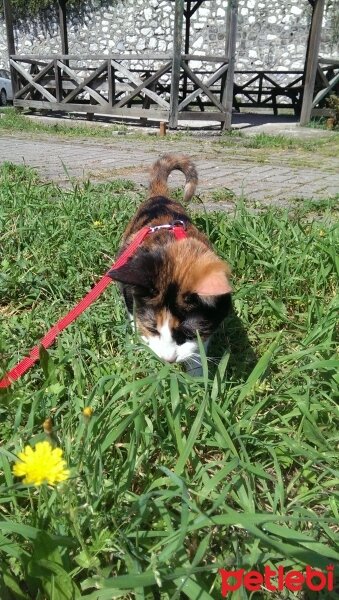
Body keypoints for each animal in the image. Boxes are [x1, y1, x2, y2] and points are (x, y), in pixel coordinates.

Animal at [109, 152, 234, 372]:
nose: (168, 359)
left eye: (189, 334)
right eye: (153, 328)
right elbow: (134, 314)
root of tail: (160, 195)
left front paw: (198, 373)